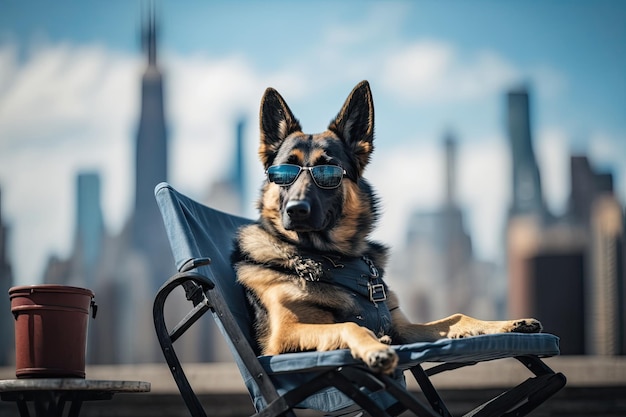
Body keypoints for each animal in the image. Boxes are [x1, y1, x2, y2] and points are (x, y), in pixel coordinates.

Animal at [234, 79, 540, 372]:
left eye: (328, 172)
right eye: (284, 172)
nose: (296, 210)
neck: (330, 259)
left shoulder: (401, 327)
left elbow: (457, 316)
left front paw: (509, 323)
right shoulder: (283, 337)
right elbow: (350, 325)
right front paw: (375, 348)